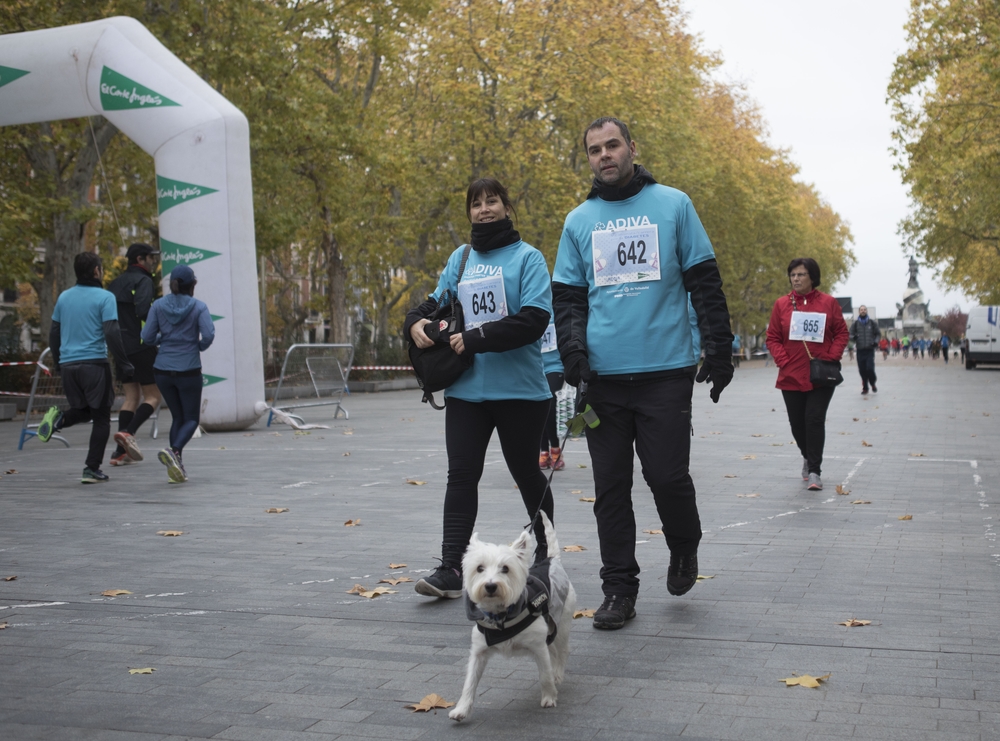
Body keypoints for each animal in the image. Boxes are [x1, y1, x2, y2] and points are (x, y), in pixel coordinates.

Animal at [450, 512, 576, 720]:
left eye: (506, 569)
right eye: (479, 568)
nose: (490, 586)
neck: (501, 616)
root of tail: (552, 560)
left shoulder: (538, 646)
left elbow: (544, 675)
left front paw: (549, 697)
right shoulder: (479, 651)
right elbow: (470, 681)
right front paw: (461, 709)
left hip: (561, 622)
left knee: (562, 650)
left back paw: (557, 674)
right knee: (553, 650)